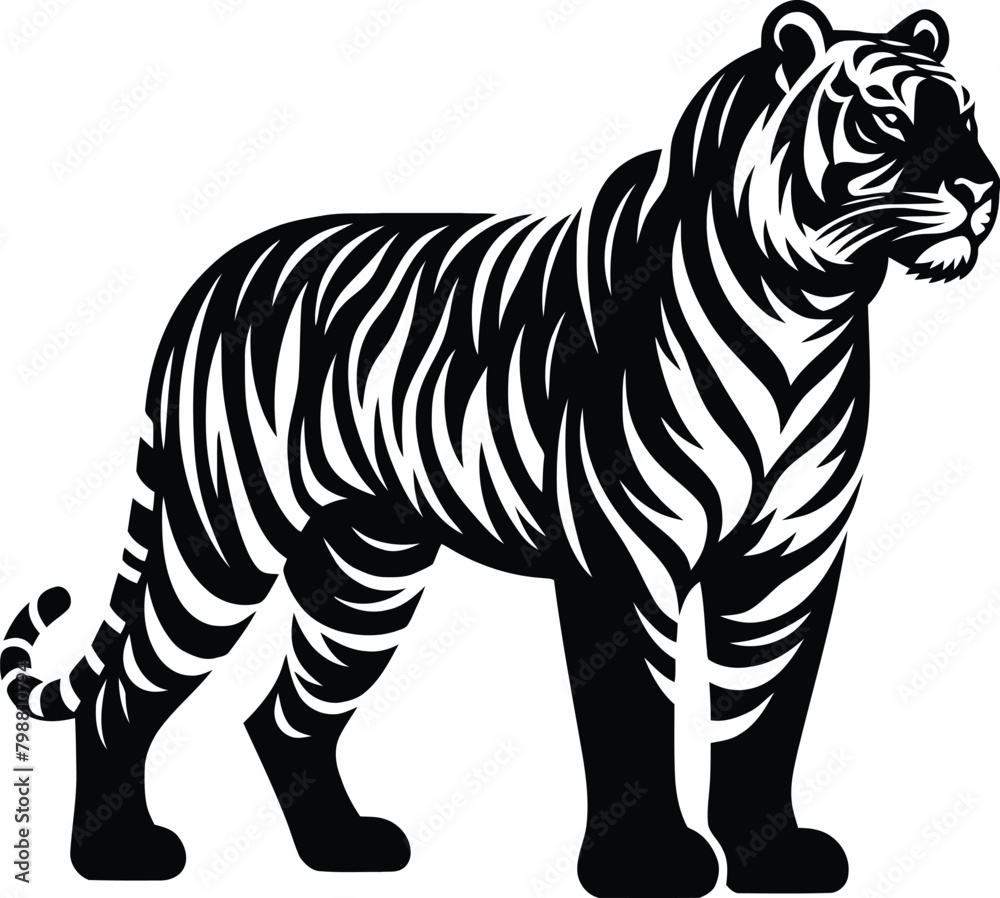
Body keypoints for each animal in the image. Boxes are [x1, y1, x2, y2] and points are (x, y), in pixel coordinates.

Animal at [2, 2, 996, 895]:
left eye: (969, 115)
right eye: (887, 119)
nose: (982, 193)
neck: (801, 315)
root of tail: (210, 281)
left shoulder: (790, 560)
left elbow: (766, 713)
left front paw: (774, 860)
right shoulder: (621, 555)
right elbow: (633, 714)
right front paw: (649, 866)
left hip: (368, 568)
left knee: (287, 718)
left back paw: (343, 849)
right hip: (218, 540)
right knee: (123, 694)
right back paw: (118, 855)